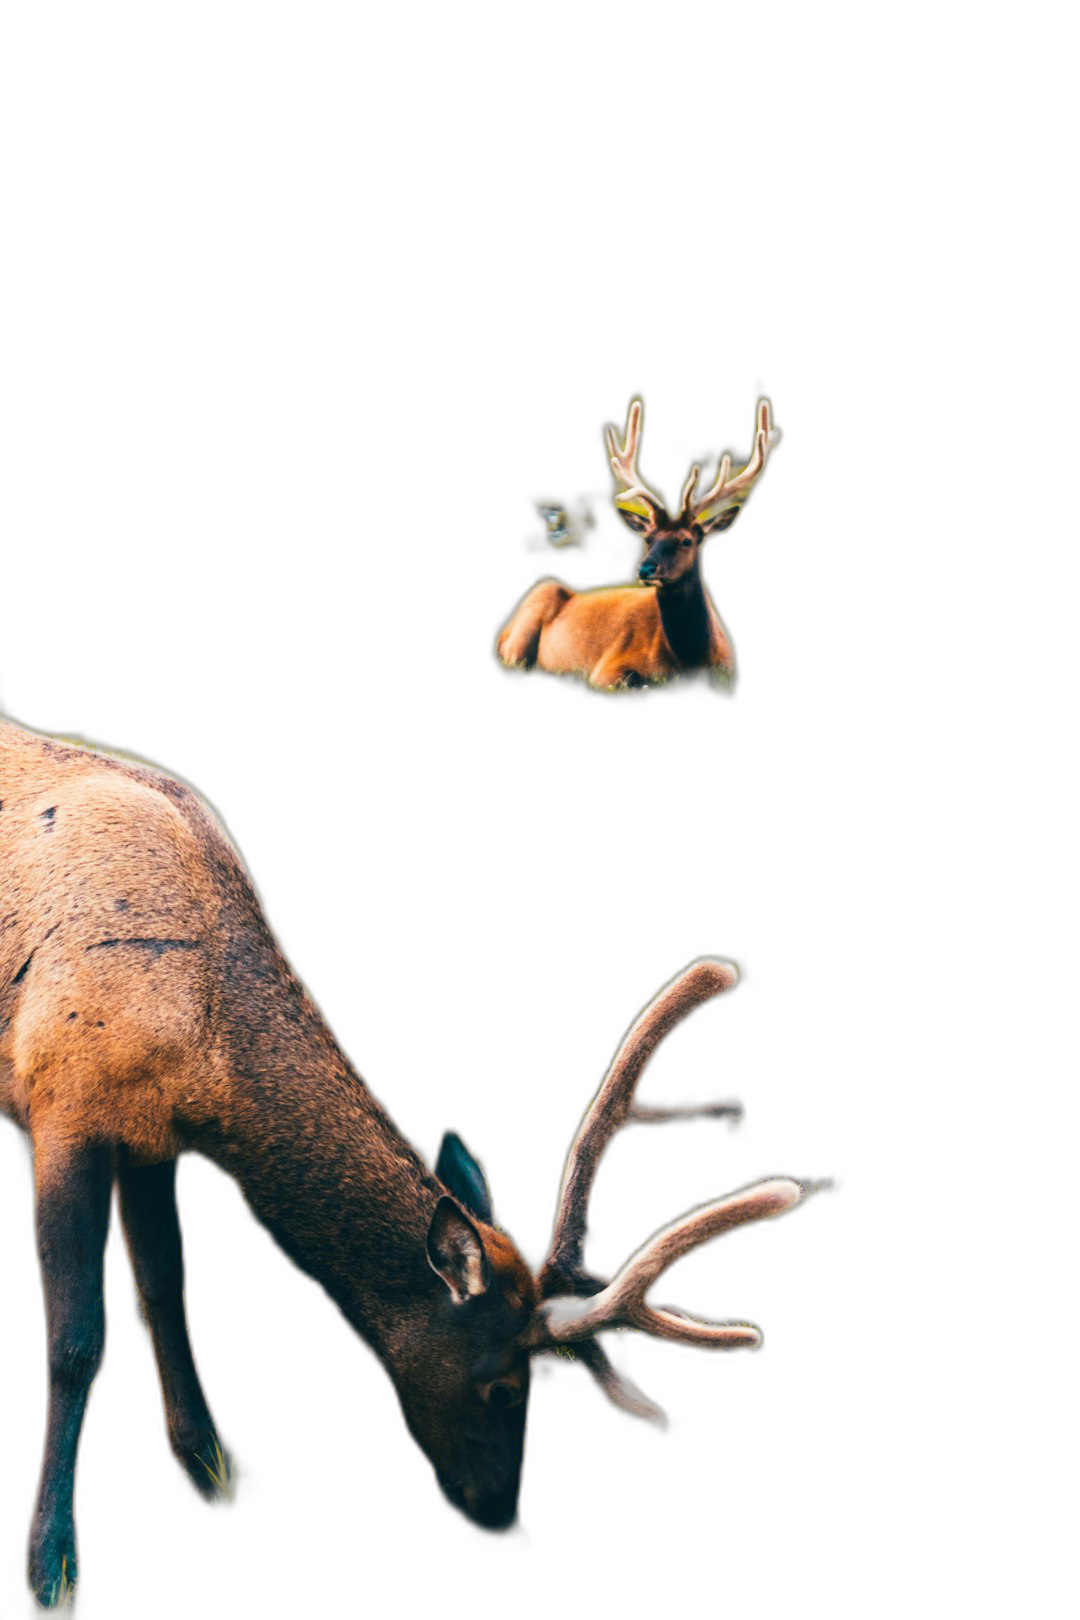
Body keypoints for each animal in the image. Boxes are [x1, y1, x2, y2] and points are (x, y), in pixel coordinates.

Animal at [0, 716, 809, 1613]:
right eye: (504, 1383)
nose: (498, 1514)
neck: (198, 1038)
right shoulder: (63, 1105)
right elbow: (76, 1341)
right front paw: (51, 1565)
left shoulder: (152, 1137)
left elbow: (165, 1290)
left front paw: (211, 1466)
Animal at [495, 401, 780, 693]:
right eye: (648, 538)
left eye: (686, 540)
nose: (645, 569)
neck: (692, 661)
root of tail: (502, 632)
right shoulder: (606, 667)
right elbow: (637, 683)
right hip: (530, 615)